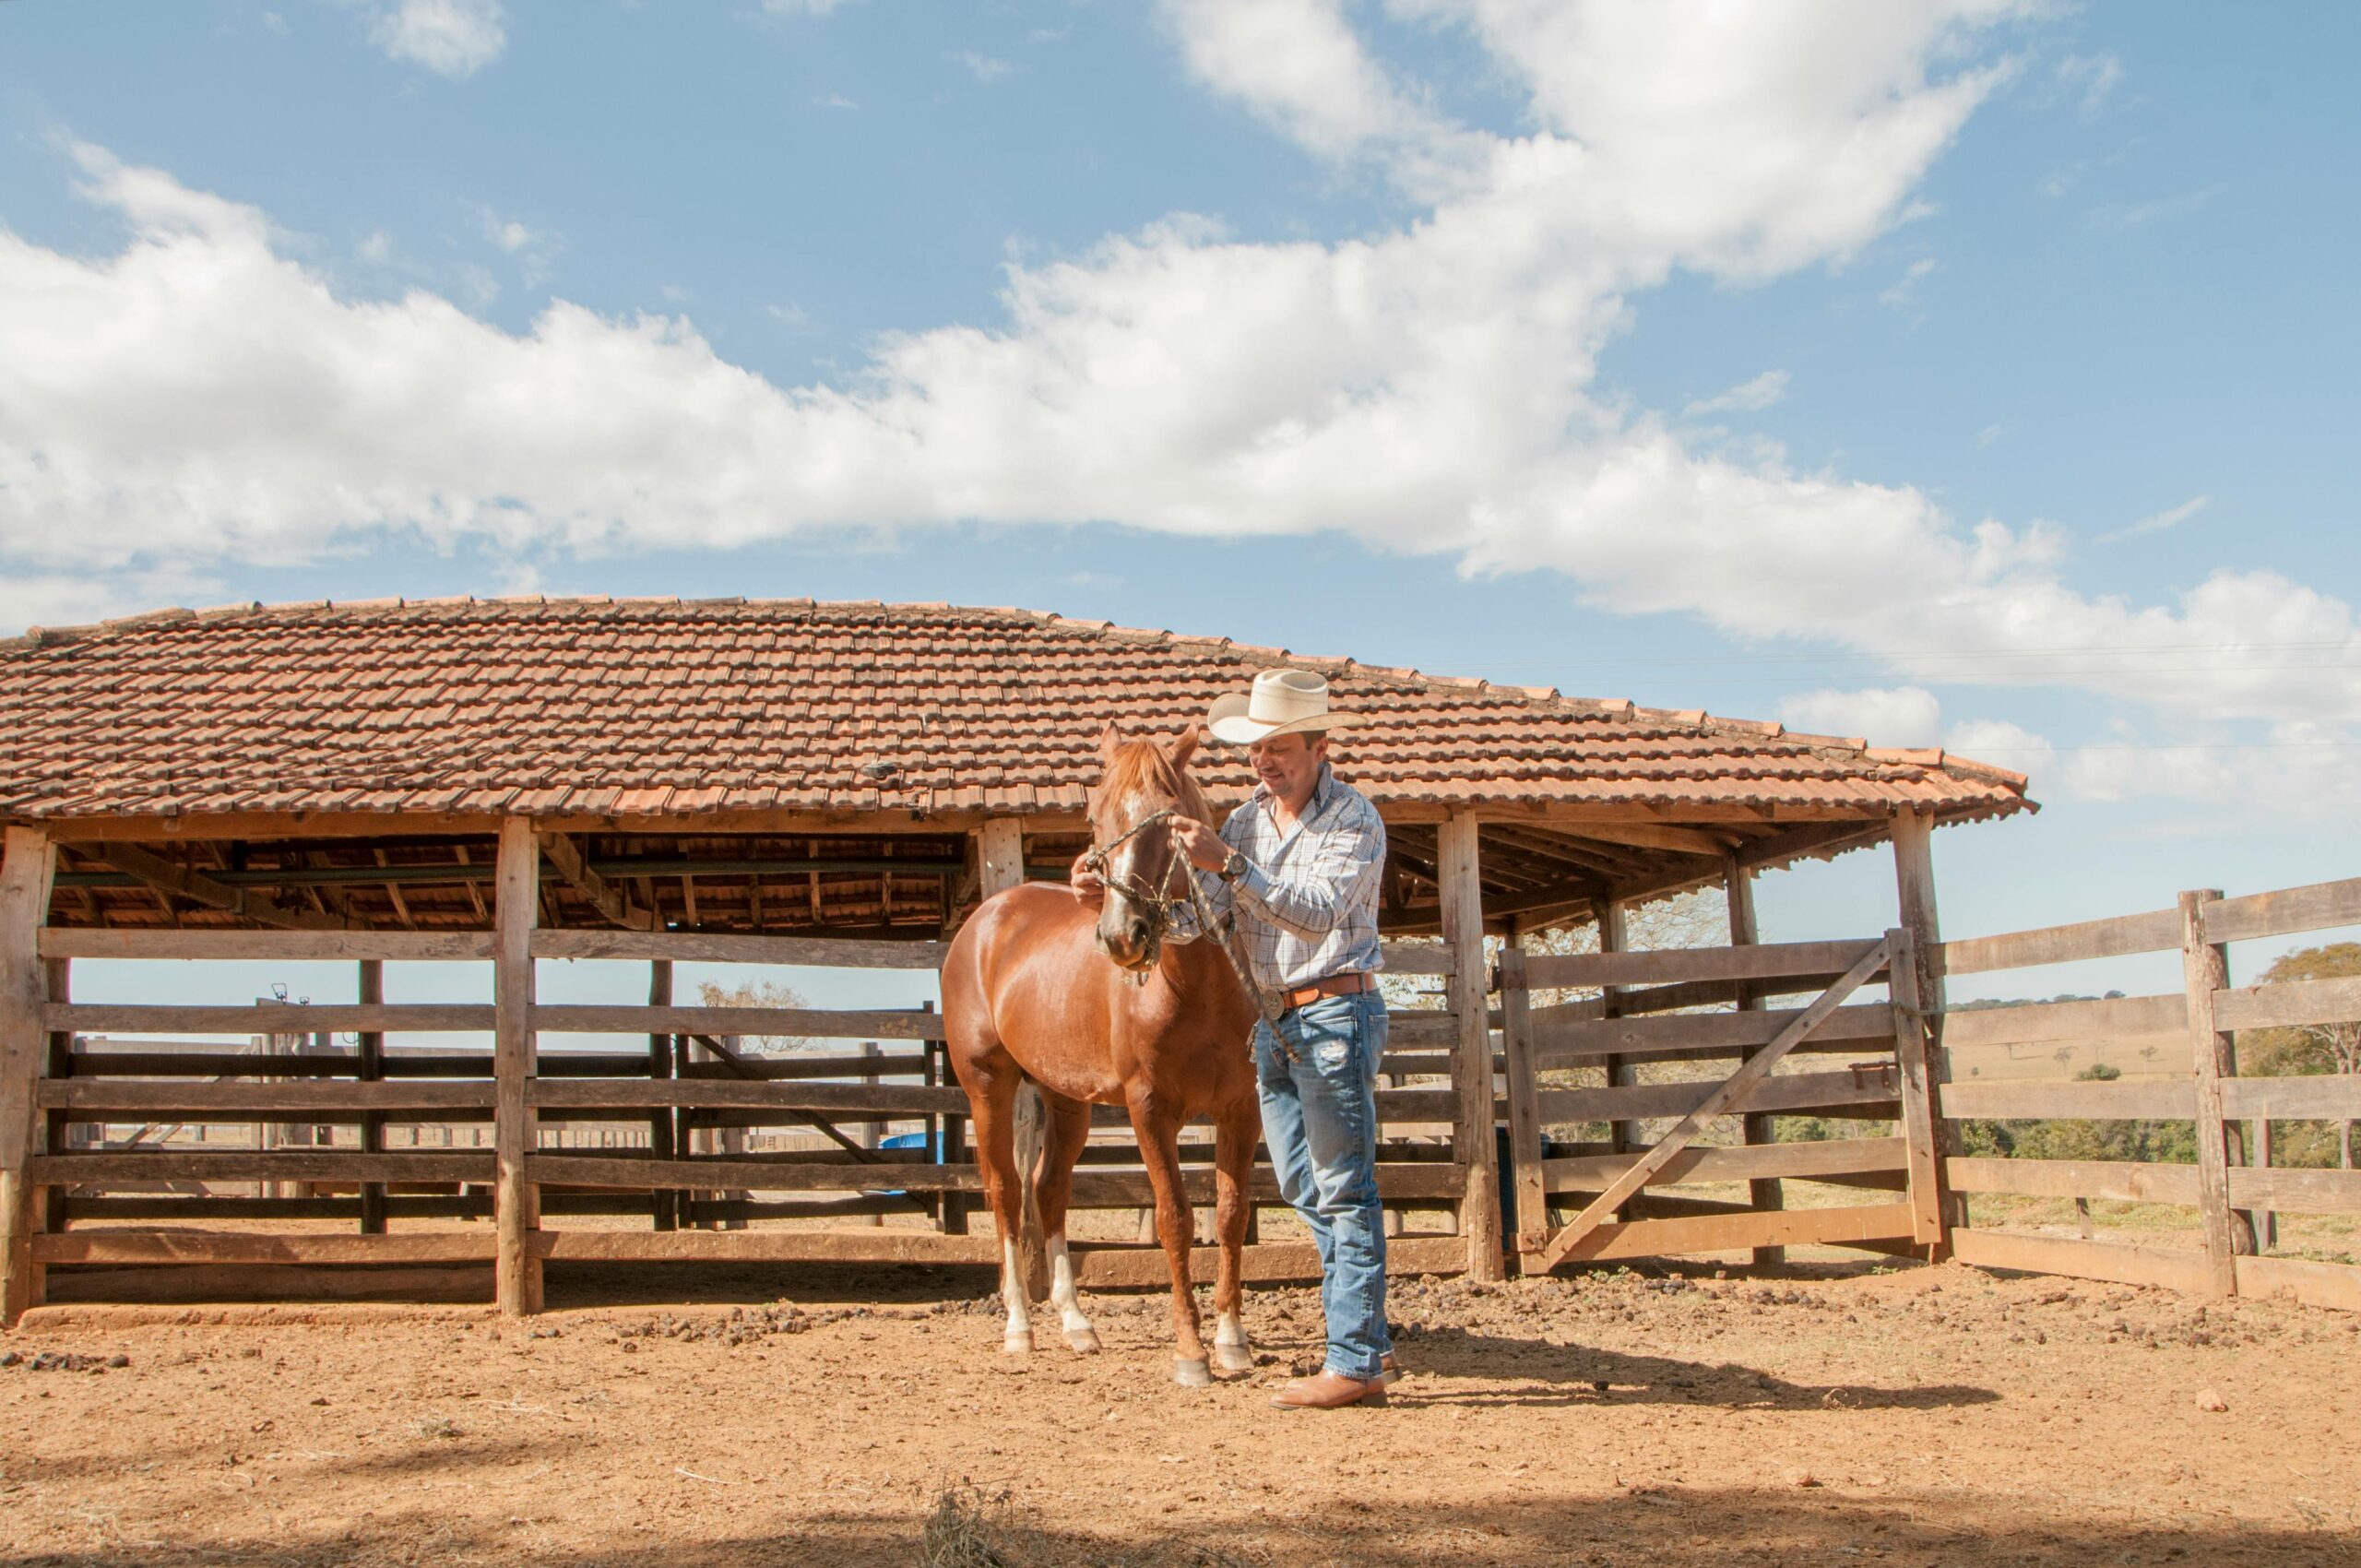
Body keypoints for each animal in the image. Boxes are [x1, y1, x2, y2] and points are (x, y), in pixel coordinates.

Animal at [939, 723, 1262, 1386]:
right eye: (1094, 818)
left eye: (1168, 817)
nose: (1122, 937)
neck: (1195, 988)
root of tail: (986, 920)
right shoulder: (1149, 1109)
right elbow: (1174, 1219)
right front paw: (1190, 1351)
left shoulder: (1241, 1109)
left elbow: (1229, 1214)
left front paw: (1231, 1340)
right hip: (988, 1087)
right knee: (1006, 1192)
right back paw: (1020, 1327)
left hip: (1065, 1100)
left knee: (1048, 1191)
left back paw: (1076, 1324)